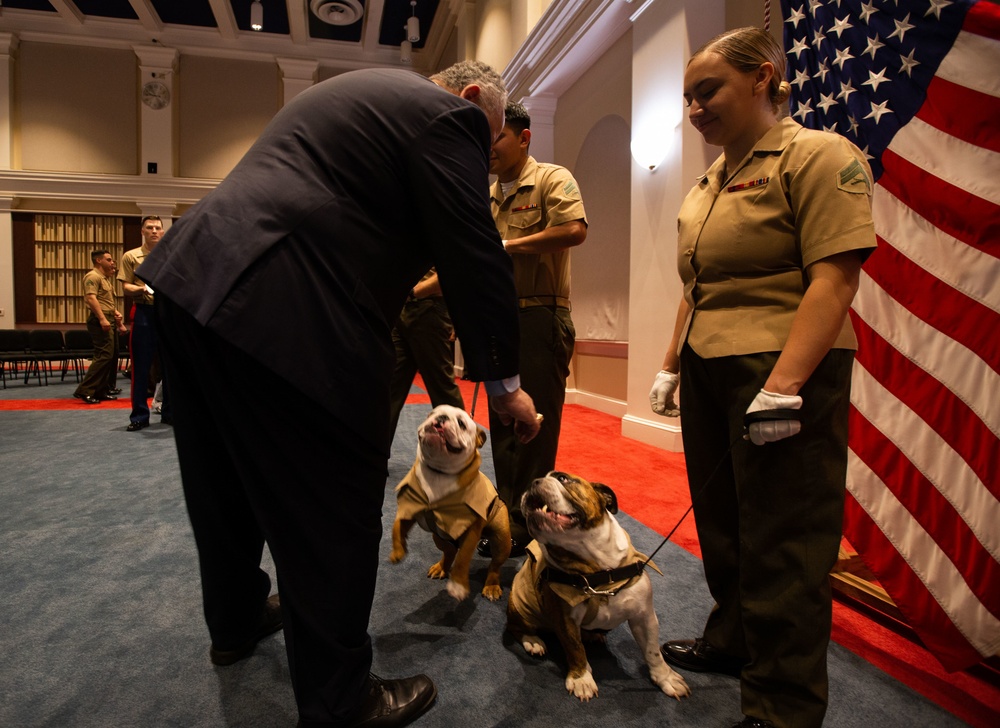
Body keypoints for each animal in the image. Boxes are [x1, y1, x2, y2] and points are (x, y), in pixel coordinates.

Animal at [390, 406, 516, 600]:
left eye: (462, 424)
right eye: (432, 413)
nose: (441, 418)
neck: (439, 472)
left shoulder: (471, 530)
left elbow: (463, 559)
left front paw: (458, 585)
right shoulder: (410, 508)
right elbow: (396, 527)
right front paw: (398, 550)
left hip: (502, 539)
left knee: (494, 565)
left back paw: (492, 586)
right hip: (438, 536)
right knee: (449, 551)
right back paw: (441, 567)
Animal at [508, 470, 688, 704]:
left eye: (563, 478)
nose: (533, 482)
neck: (597, 570)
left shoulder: (644, 617)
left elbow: (652, 651)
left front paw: (666, 678)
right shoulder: (565, 619)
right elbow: (575, 649)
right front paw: (581, 679)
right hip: (521, 604)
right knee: (518, 627)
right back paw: (533, 641)